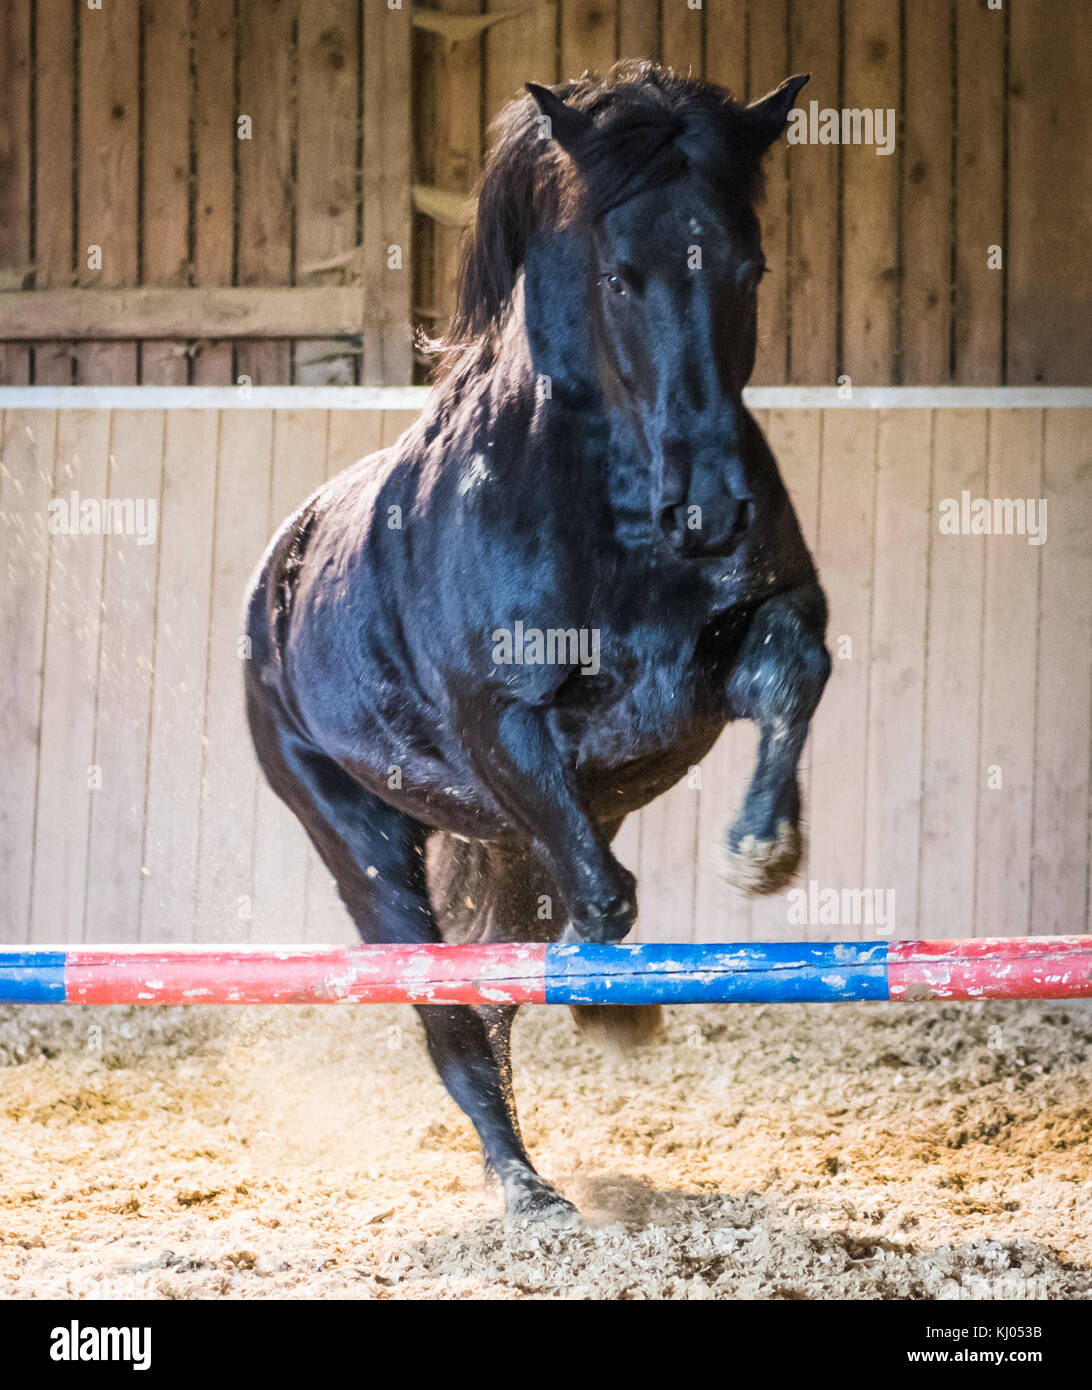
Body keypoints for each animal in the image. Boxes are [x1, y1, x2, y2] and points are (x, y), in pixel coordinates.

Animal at [244, 62, 828, 1217]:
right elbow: (604, 895)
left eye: (750, 268)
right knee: (450, 1010)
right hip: (363, 843)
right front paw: (619, 1008)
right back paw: (523, 1184)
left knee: (497, 986)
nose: (713, 512)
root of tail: (280, 567)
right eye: (618, 278)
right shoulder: (506, 728)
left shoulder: (709, 672)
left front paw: (763, 848)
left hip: (504, 844)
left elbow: (795, 669)